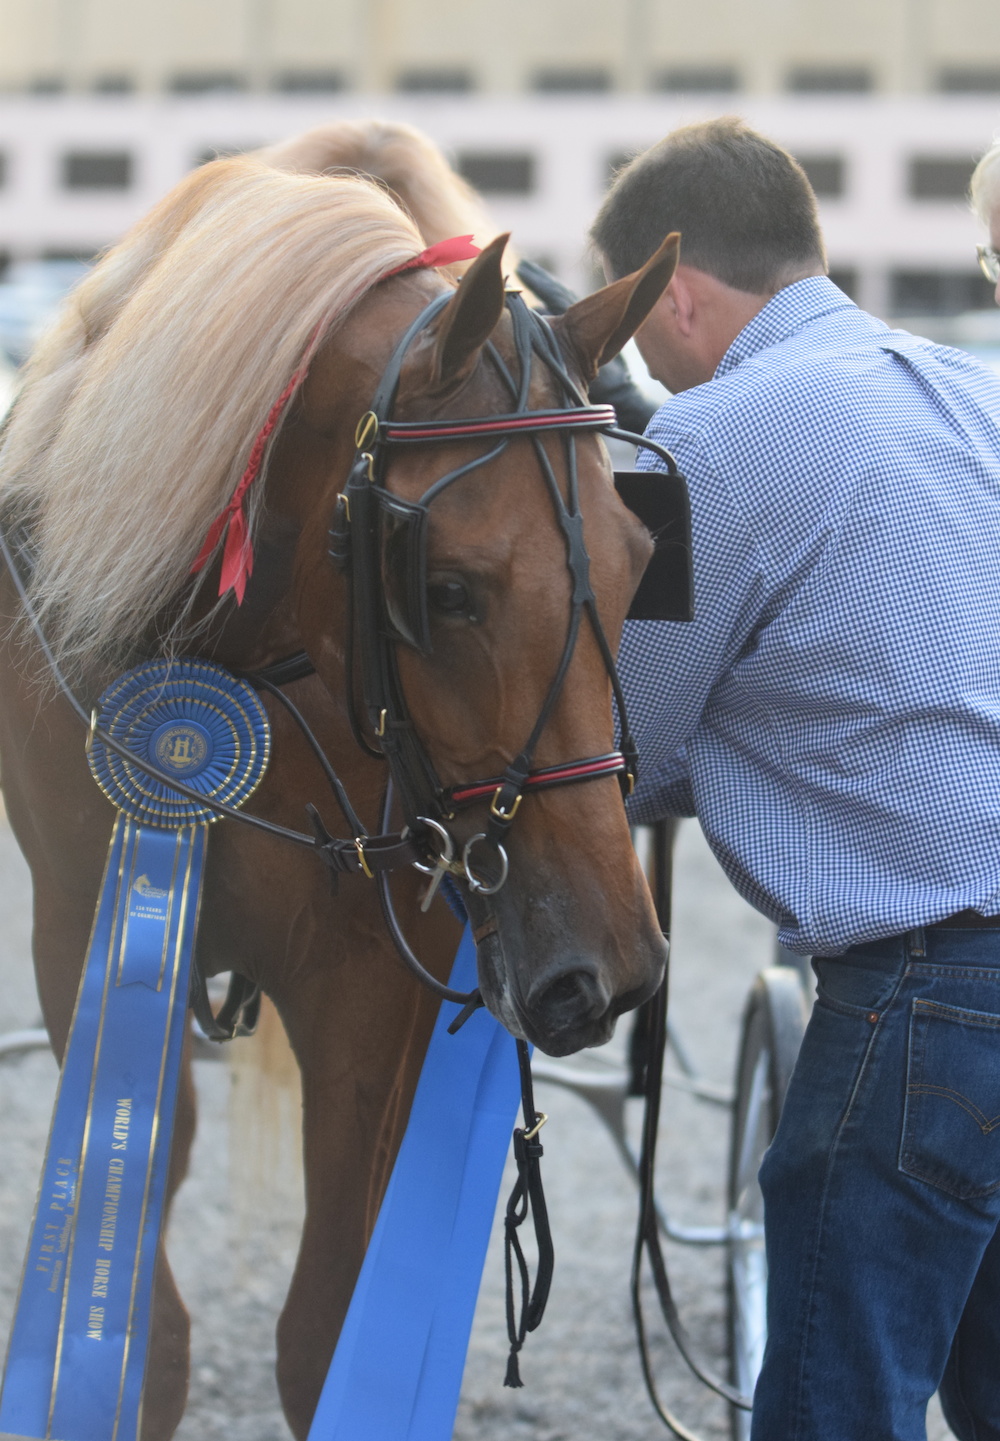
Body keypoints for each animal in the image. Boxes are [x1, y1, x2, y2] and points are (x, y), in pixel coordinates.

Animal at [0, 149, 682, 1441]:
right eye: (447, 588)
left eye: (636, 565)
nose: (608, 968)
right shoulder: (81, 941)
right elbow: (149, 1325)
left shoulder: (370, 985)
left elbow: (326, 1332)